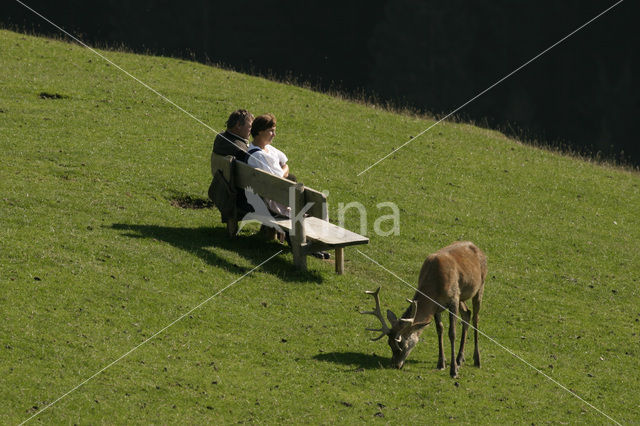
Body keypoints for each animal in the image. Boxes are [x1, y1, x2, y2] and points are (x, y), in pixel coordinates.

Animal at [362, 241, 488, 378]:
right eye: (389, 343)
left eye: (402, 345)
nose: (395, 365)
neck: (434, 286)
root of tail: (478, 249)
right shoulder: (437, 306)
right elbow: (440, 330)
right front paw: (441, 363)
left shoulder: (453, 299)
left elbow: (452, 333)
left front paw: (453, 371)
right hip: (462, 296)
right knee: (467, 313)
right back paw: (460, 358)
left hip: (480, 286)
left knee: (476, 318)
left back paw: (477, 360)